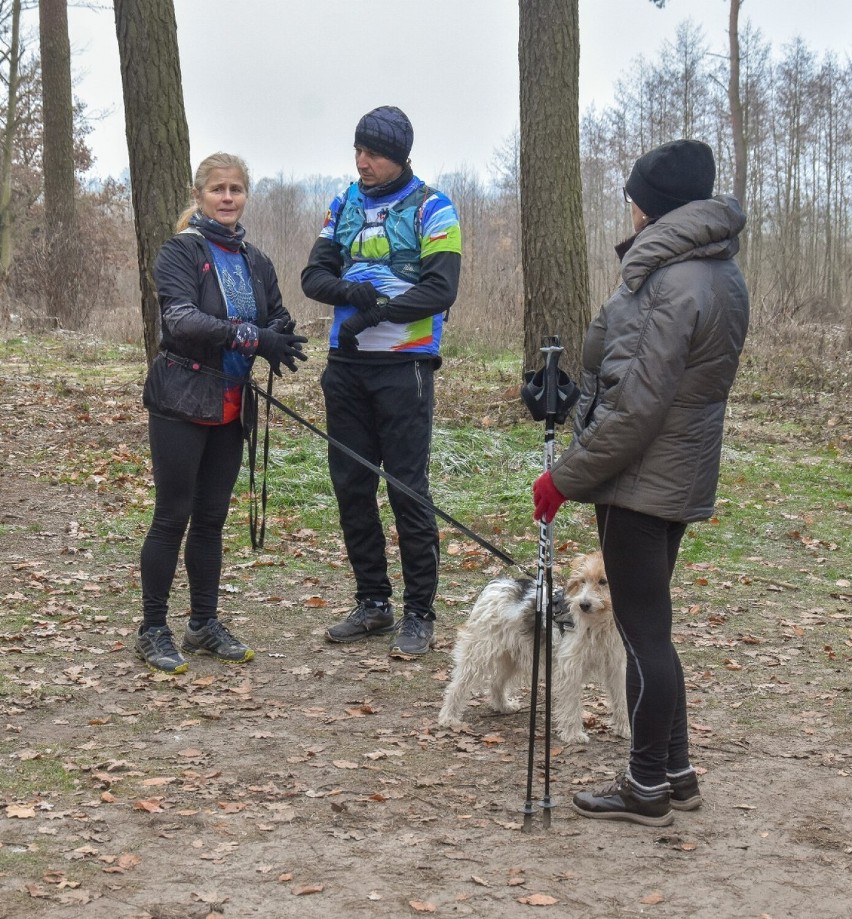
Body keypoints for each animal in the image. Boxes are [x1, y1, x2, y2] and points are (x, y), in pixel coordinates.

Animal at [440, 548, 624, 744]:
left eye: (603, 581)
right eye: (582, 581)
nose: (583, 604)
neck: (599, 623)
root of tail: (499, 585)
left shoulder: (616, 666)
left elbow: (621, 698)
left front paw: (625, 729)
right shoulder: (570, 669)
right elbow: (571, 703)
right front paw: (573, 733)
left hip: (512, 656)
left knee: (496, 681)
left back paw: (503, 705)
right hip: (479, 652)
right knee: (458, 685)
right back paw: (448, 716)